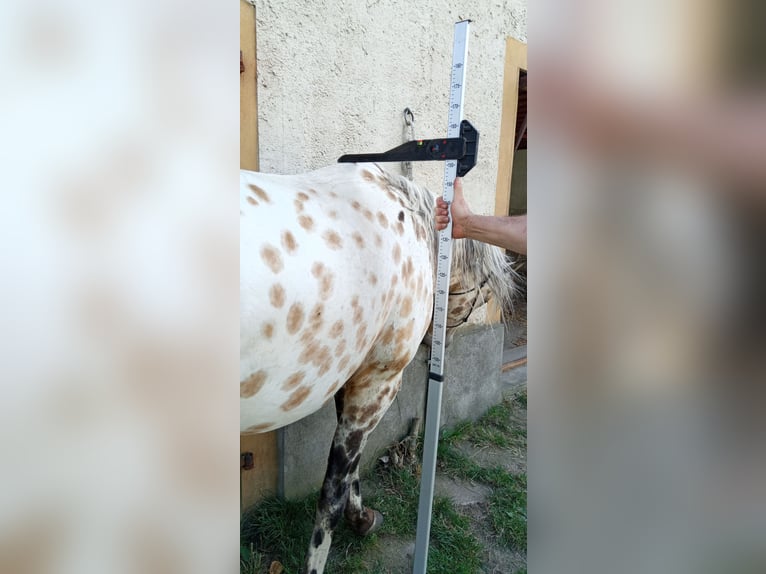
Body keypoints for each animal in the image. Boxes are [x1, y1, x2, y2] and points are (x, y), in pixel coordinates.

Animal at [240, 163, 516, 574]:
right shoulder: (378, 382)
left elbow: (351, 469)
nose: (442, 345)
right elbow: (331, 497)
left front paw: (362, 517)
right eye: (481, 297)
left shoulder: (354, 377)